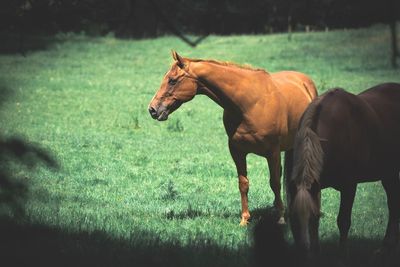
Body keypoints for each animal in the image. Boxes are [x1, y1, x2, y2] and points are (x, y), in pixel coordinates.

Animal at [148, 50, 318, 226]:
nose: (152, 109)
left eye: (172, 80)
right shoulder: (237, 151)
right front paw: (245, 219)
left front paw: (280, 218)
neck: (248, 104)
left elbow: (275, 183)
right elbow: (243, 183)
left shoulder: (273, 152)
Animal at [288, 83, 400, 258]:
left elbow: (343, 220)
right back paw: (387, 247)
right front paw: (316, 252)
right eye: (292, 218)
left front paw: (342, 255)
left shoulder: (349, 186)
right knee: (393, 203)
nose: (303, 252)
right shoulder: (316, 185)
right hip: (389, 173)